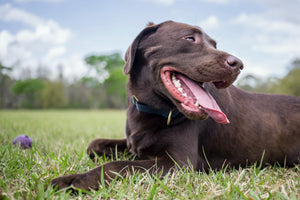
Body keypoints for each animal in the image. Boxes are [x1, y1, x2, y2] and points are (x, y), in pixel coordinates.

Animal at [51, 21, 300, 191]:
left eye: (214, 44)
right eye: (189, 39)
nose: (238, 64)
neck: (153, 109)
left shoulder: (177, 164)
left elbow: (117, 166)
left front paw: (73, 180)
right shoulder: (135, 144)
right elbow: (94, 144)